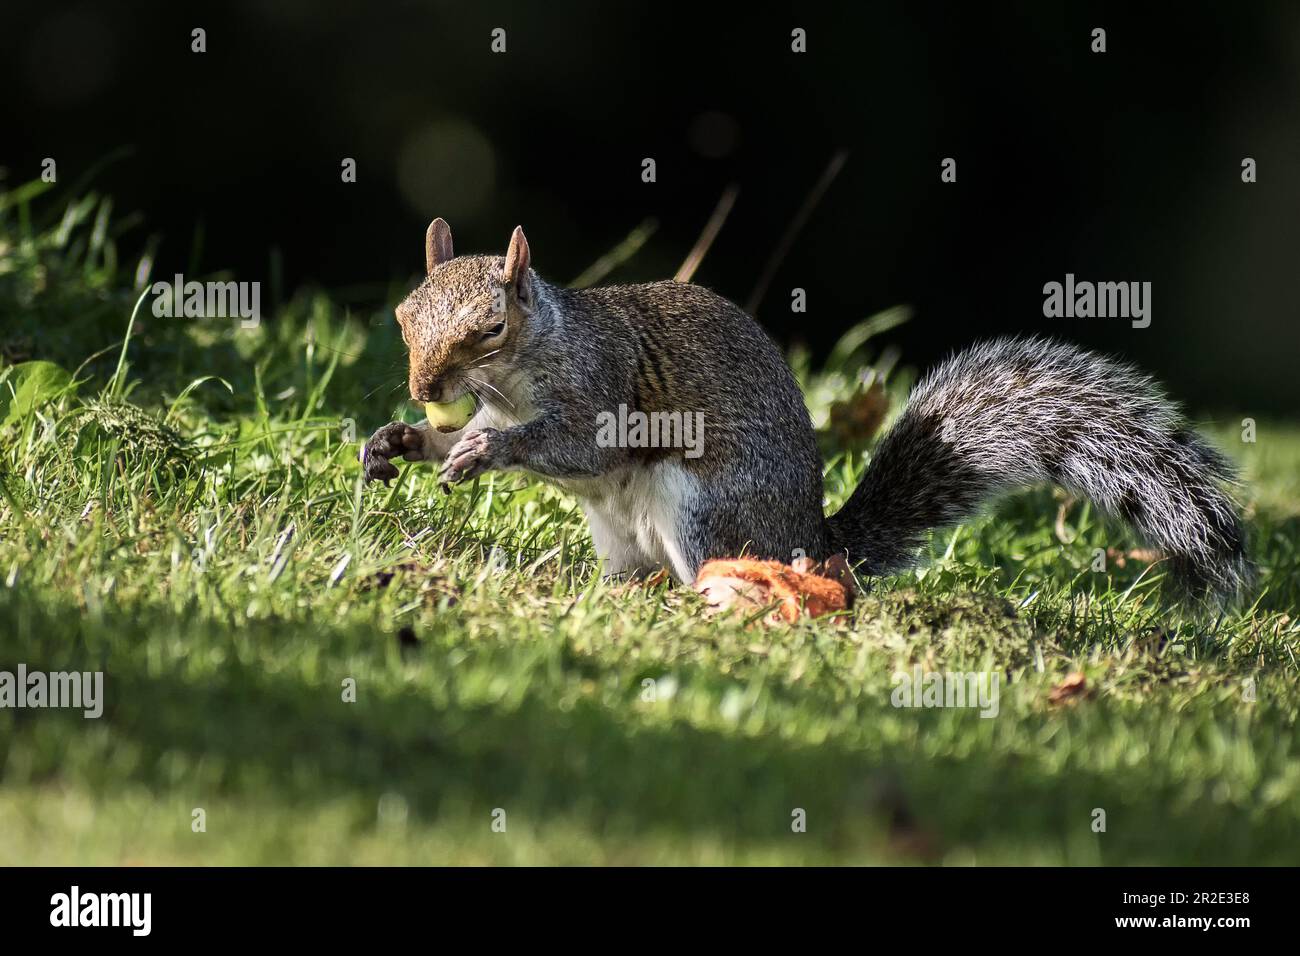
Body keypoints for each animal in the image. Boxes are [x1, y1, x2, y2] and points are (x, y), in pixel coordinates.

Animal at [362, 219, 1251, 602]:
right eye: (404, 314)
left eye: (491, 327)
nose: (422, 389)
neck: (516, 381)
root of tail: (816, 547)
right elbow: (460, 438)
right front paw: (399, 443)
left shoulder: (600, 389)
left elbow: (577, 447)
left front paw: (490, 456)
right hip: (624, 537)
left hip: (702, 511)